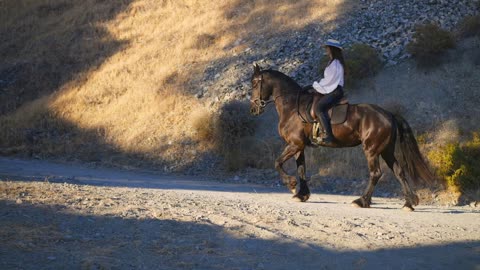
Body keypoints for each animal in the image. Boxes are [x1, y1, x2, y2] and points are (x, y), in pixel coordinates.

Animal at [251, 63, 436, 211]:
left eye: (254, 83)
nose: (253, 109)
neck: (292, 107)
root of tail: (389, 114)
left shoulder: (295, 144)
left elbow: (277, 162)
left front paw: (290, 184)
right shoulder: (299, 146)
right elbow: (301, 170)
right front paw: (302, 194)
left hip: (371, 149)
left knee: (376, 173)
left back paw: (362, 201)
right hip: (386, 150)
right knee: (399, 172)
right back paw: (409, 203)